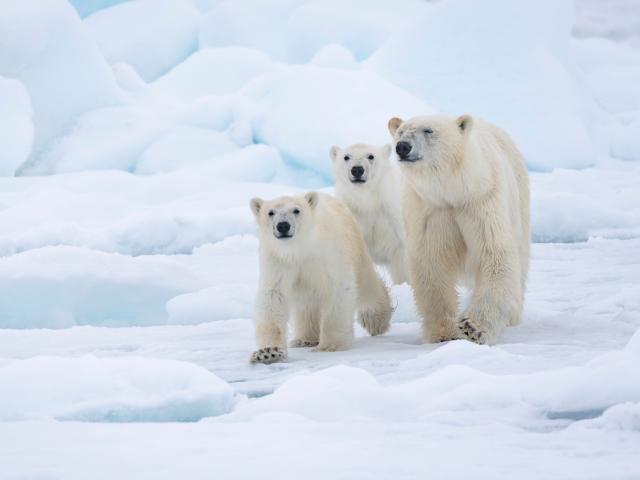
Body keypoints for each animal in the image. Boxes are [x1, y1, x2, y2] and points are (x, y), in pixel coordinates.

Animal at [249, 191, 393, 364]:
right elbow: (273, 296)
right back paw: (304, 339)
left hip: (355, 245)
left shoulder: (328, 255)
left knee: (366, 286)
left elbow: (338, 288)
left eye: (296, 210)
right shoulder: (277, 260)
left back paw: (375, 320)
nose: (283, 225)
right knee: (306, 303)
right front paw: (268, 352)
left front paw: (330, 345)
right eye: (270, 212)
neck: (298, 249)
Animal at [330, 143, 408, 285]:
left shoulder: (392, 217)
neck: (368, 203)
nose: (357, 170)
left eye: (371, 156)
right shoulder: (352, 216)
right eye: (346, 157)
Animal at [388, 114, 530, 345]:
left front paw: (473, 327)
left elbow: (494, 254)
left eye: (429, 130)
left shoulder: (482, 201)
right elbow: (431, 263)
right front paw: (444, 332)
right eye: (400, 132)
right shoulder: (429, 210)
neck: (454, 192)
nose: (403, 146)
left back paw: (513, 315)